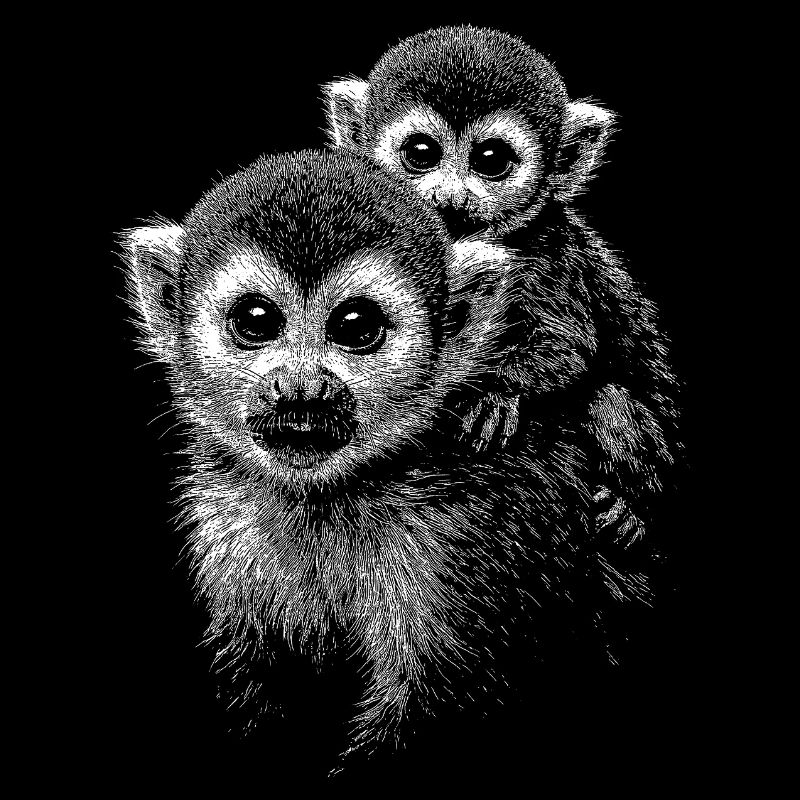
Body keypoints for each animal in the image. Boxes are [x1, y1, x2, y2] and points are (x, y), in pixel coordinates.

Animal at [120, 148, 649, 777]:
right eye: (255, 320)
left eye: (356, 327)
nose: (301, 389)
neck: (332, 498)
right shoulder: (229, 525)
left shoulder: (475, 533)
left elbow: (440, 707)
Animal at [322, 25, 680, 553]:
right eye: (421, 154)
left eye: (491, 160)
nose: (450, 198)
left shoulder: (545, 250)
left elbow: (568, 347)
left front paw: (494, 394)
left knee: (608, 399)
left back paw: (633, 508)